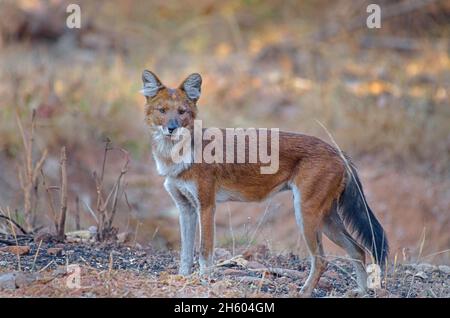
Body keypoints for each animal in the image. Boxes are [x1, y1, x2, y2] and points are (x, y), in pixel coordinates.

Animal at [141, 71, 386, 296]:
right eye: (162, 111)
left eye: (182, 112)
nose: (172, 127)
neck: (174, 157)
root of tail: (338, 152)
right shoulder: (186, 208)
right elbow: (185, 251)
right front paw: (182, 278)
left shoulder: (207, 206)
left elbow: (204, 250)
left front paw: (203, 281)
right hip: (325, 219)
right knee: (358, 250)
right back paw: (362, 291)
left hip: (306, 213)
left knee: (322, 260)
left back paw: (304, 291)